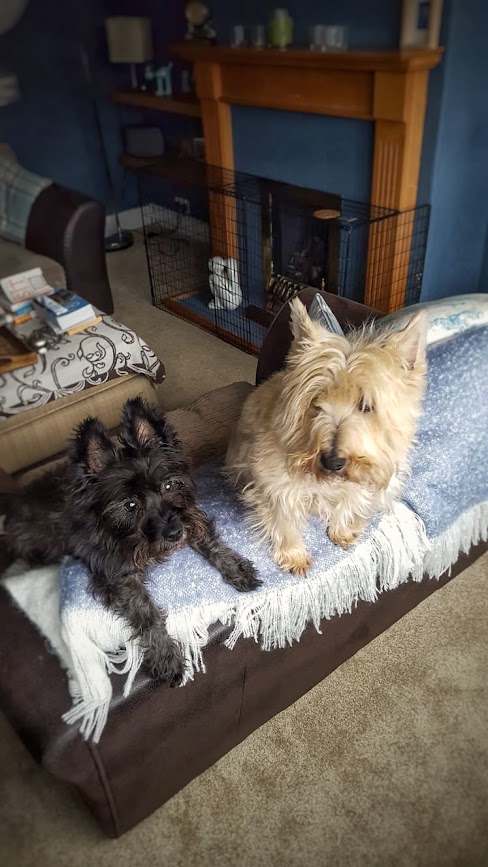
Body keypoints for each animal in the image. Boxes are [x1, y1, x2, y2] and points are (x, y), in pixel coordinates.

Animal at [5, 398, 262, 684]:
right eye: (129, 504)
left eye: (168, 486)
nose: (174, 534)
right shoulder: (117, 575)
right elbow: (146, 612)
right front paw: (165, 656)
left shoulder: (189, 517)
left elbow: (209, 540)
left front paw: (235, 567)